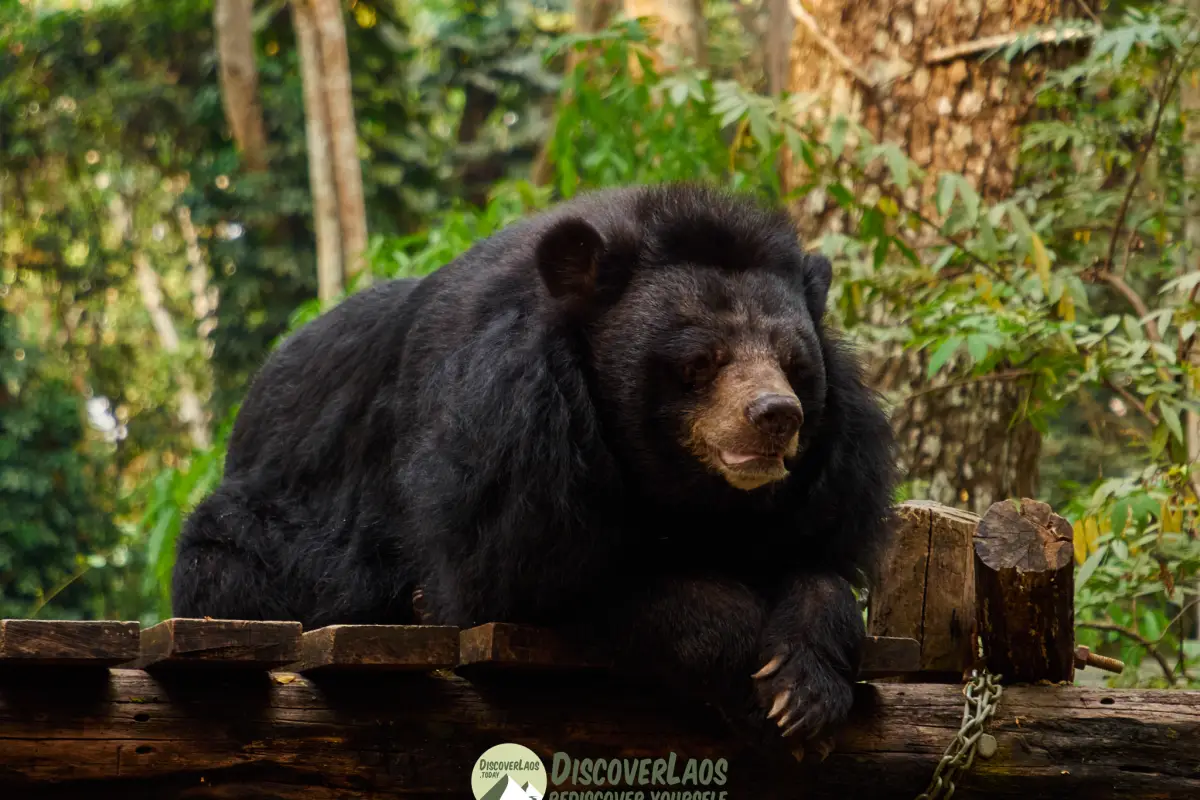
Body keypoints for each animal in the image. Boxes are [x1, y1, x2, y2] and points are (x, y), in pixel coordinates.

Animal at [171, 182, 897, 752]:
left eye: (795, 367)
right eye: (701, 362)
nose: (776, 416)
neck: (681, 490)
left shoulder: (829, 478)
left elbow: (817, 563)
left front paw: (801, 694)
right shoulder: (507, 462)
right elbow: (554, 584)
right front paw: (749, 677)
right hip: (255, 537)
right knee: (227, 566)